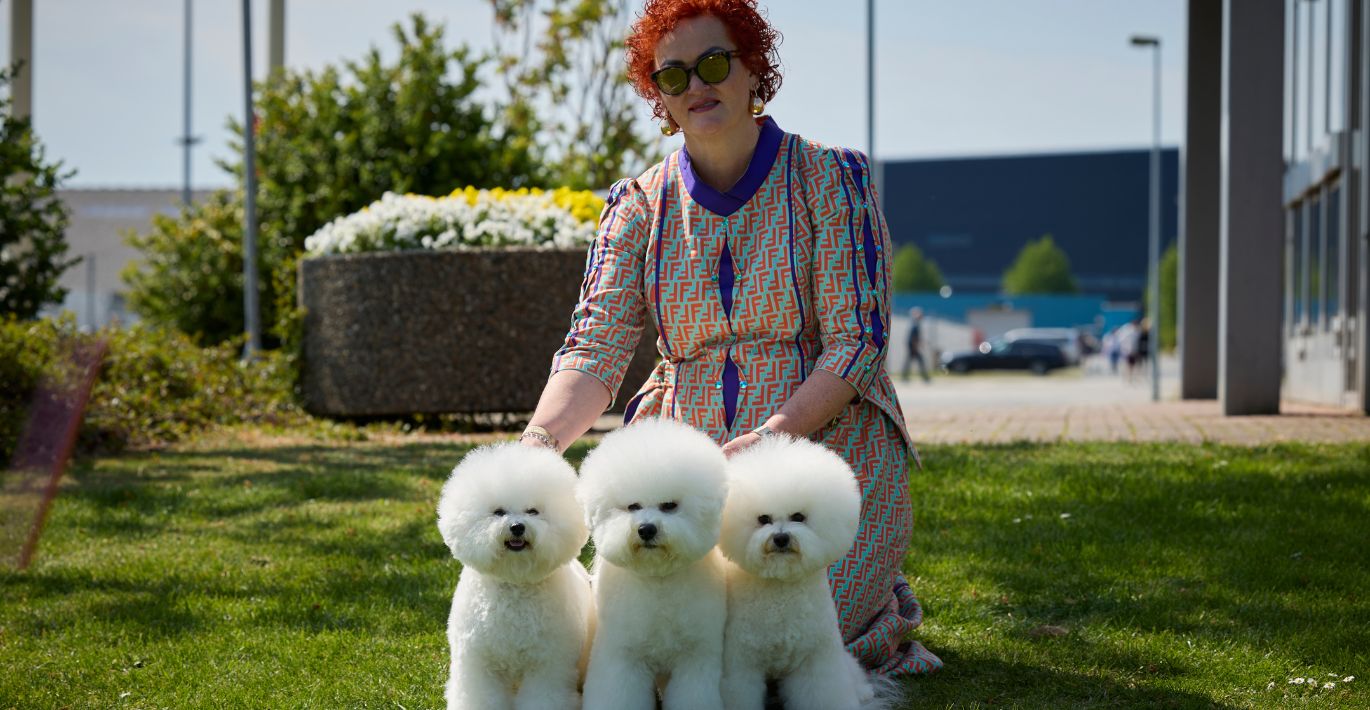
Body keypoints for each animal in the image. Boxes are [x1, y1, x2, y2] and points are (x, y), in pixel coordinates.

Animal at [435, 444, 591, 710]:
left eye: (533, 511)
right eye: (498, 512)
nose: (517, 527)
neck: (516, 583)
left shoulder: (547, 664)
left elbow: (543, 697)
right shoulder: (479, 662)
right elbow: (481, 697)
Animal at [575, 419, 734, 710]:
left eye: (669, 505)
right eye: (633, 506)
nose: (646, 529)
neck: (658, 580)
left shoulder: (695, 657)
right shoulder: (623, 657)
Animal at [712, 435, 893, 710]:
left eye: (798, 516)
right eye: (763, 519)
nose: (781, 538)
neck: (782, 588)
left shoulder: (816, 659)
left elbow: (824, 693)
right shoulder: (741, 663)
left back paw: (863, 692)